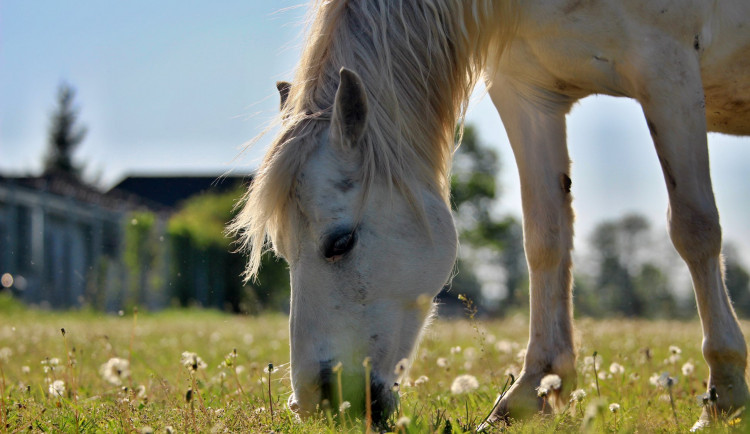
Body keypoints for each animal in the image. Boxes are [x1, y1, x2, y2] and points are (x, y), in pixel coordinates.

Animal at [234, 0, 750, 428]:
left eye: (340, 242)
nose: (318, 405)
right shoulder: (528, 91)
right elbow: (545, 237)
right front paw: (535, 390)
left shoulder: (666, 69)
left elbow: (694, 228)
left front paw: (724, 393)